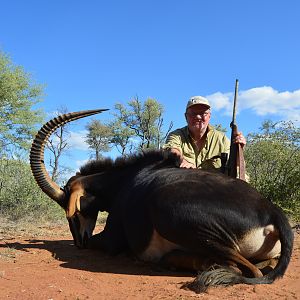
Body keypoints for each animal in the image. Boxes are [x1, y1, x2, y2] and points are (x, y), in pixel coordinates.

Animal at [29, 109, 292, 292]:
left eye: (73, 212)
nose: (79, 242)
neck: (125, 179)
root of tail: (271, 210)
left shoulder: (112, 239)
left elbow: (102, 243)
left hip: (168, 209)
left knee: (249, 270)